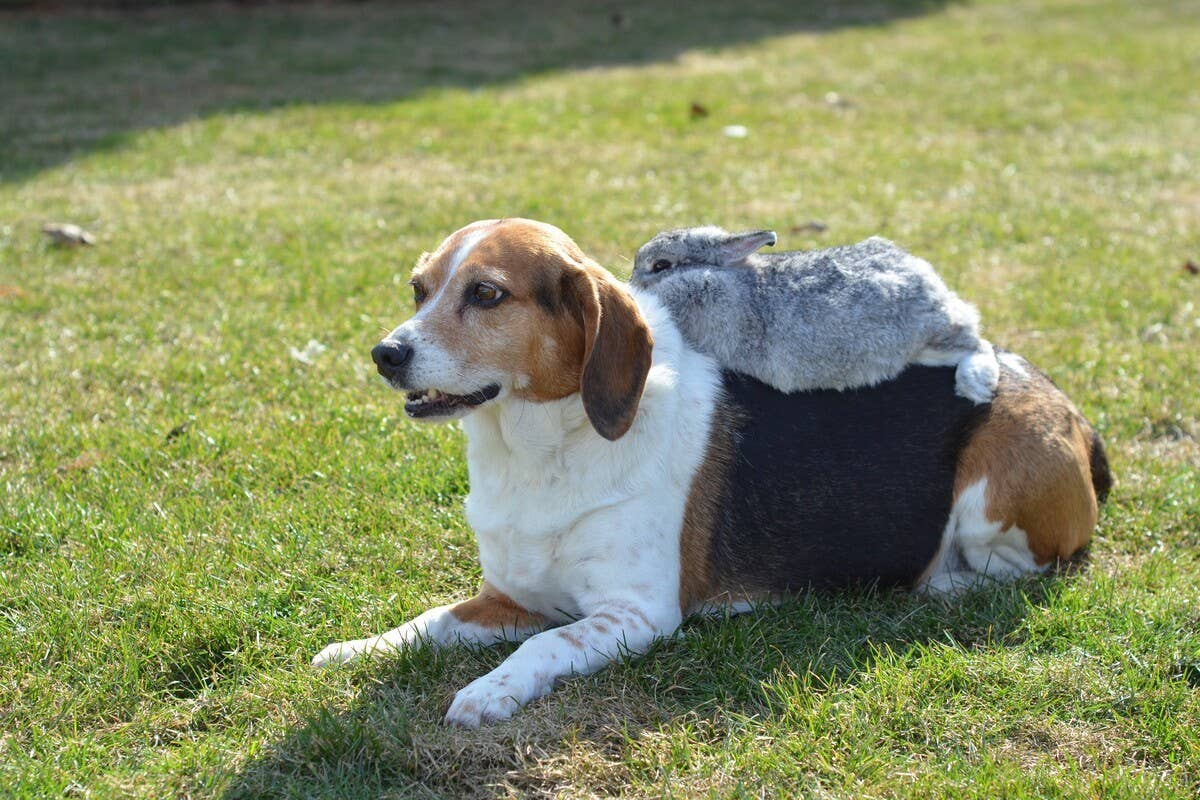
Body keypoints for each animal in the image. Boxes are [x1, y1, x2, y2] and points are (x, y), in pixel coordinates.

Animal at [629, 226, 999, 403]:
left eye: (661, 265)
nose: (632, 283)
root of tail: (926, 277)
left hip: (929, 338)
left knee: (976, 342)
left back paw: (975, 383)